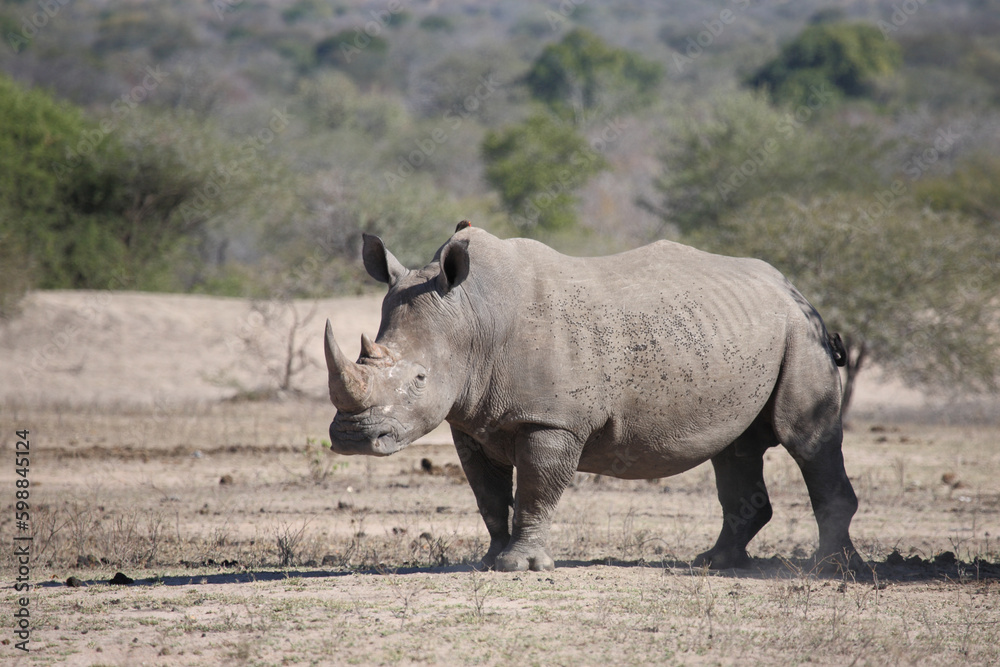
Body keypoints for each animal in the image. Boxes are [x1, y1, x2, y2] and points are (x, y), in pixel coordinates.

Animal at [324, 223, 859, 572]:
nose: (352, 438)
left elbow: (537, 488)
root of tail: (790, 286)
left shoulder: (552, 419)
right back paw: (716, 563)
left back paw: (831, 568)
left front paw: (520, 567)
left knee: (807, 439)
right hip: (741, 334)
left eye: (419, 378)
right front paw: (490, 558)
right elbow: (488, 494)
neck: (474, 315)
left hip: (801, 332)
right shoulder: (470, 420)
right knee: (735, 450)